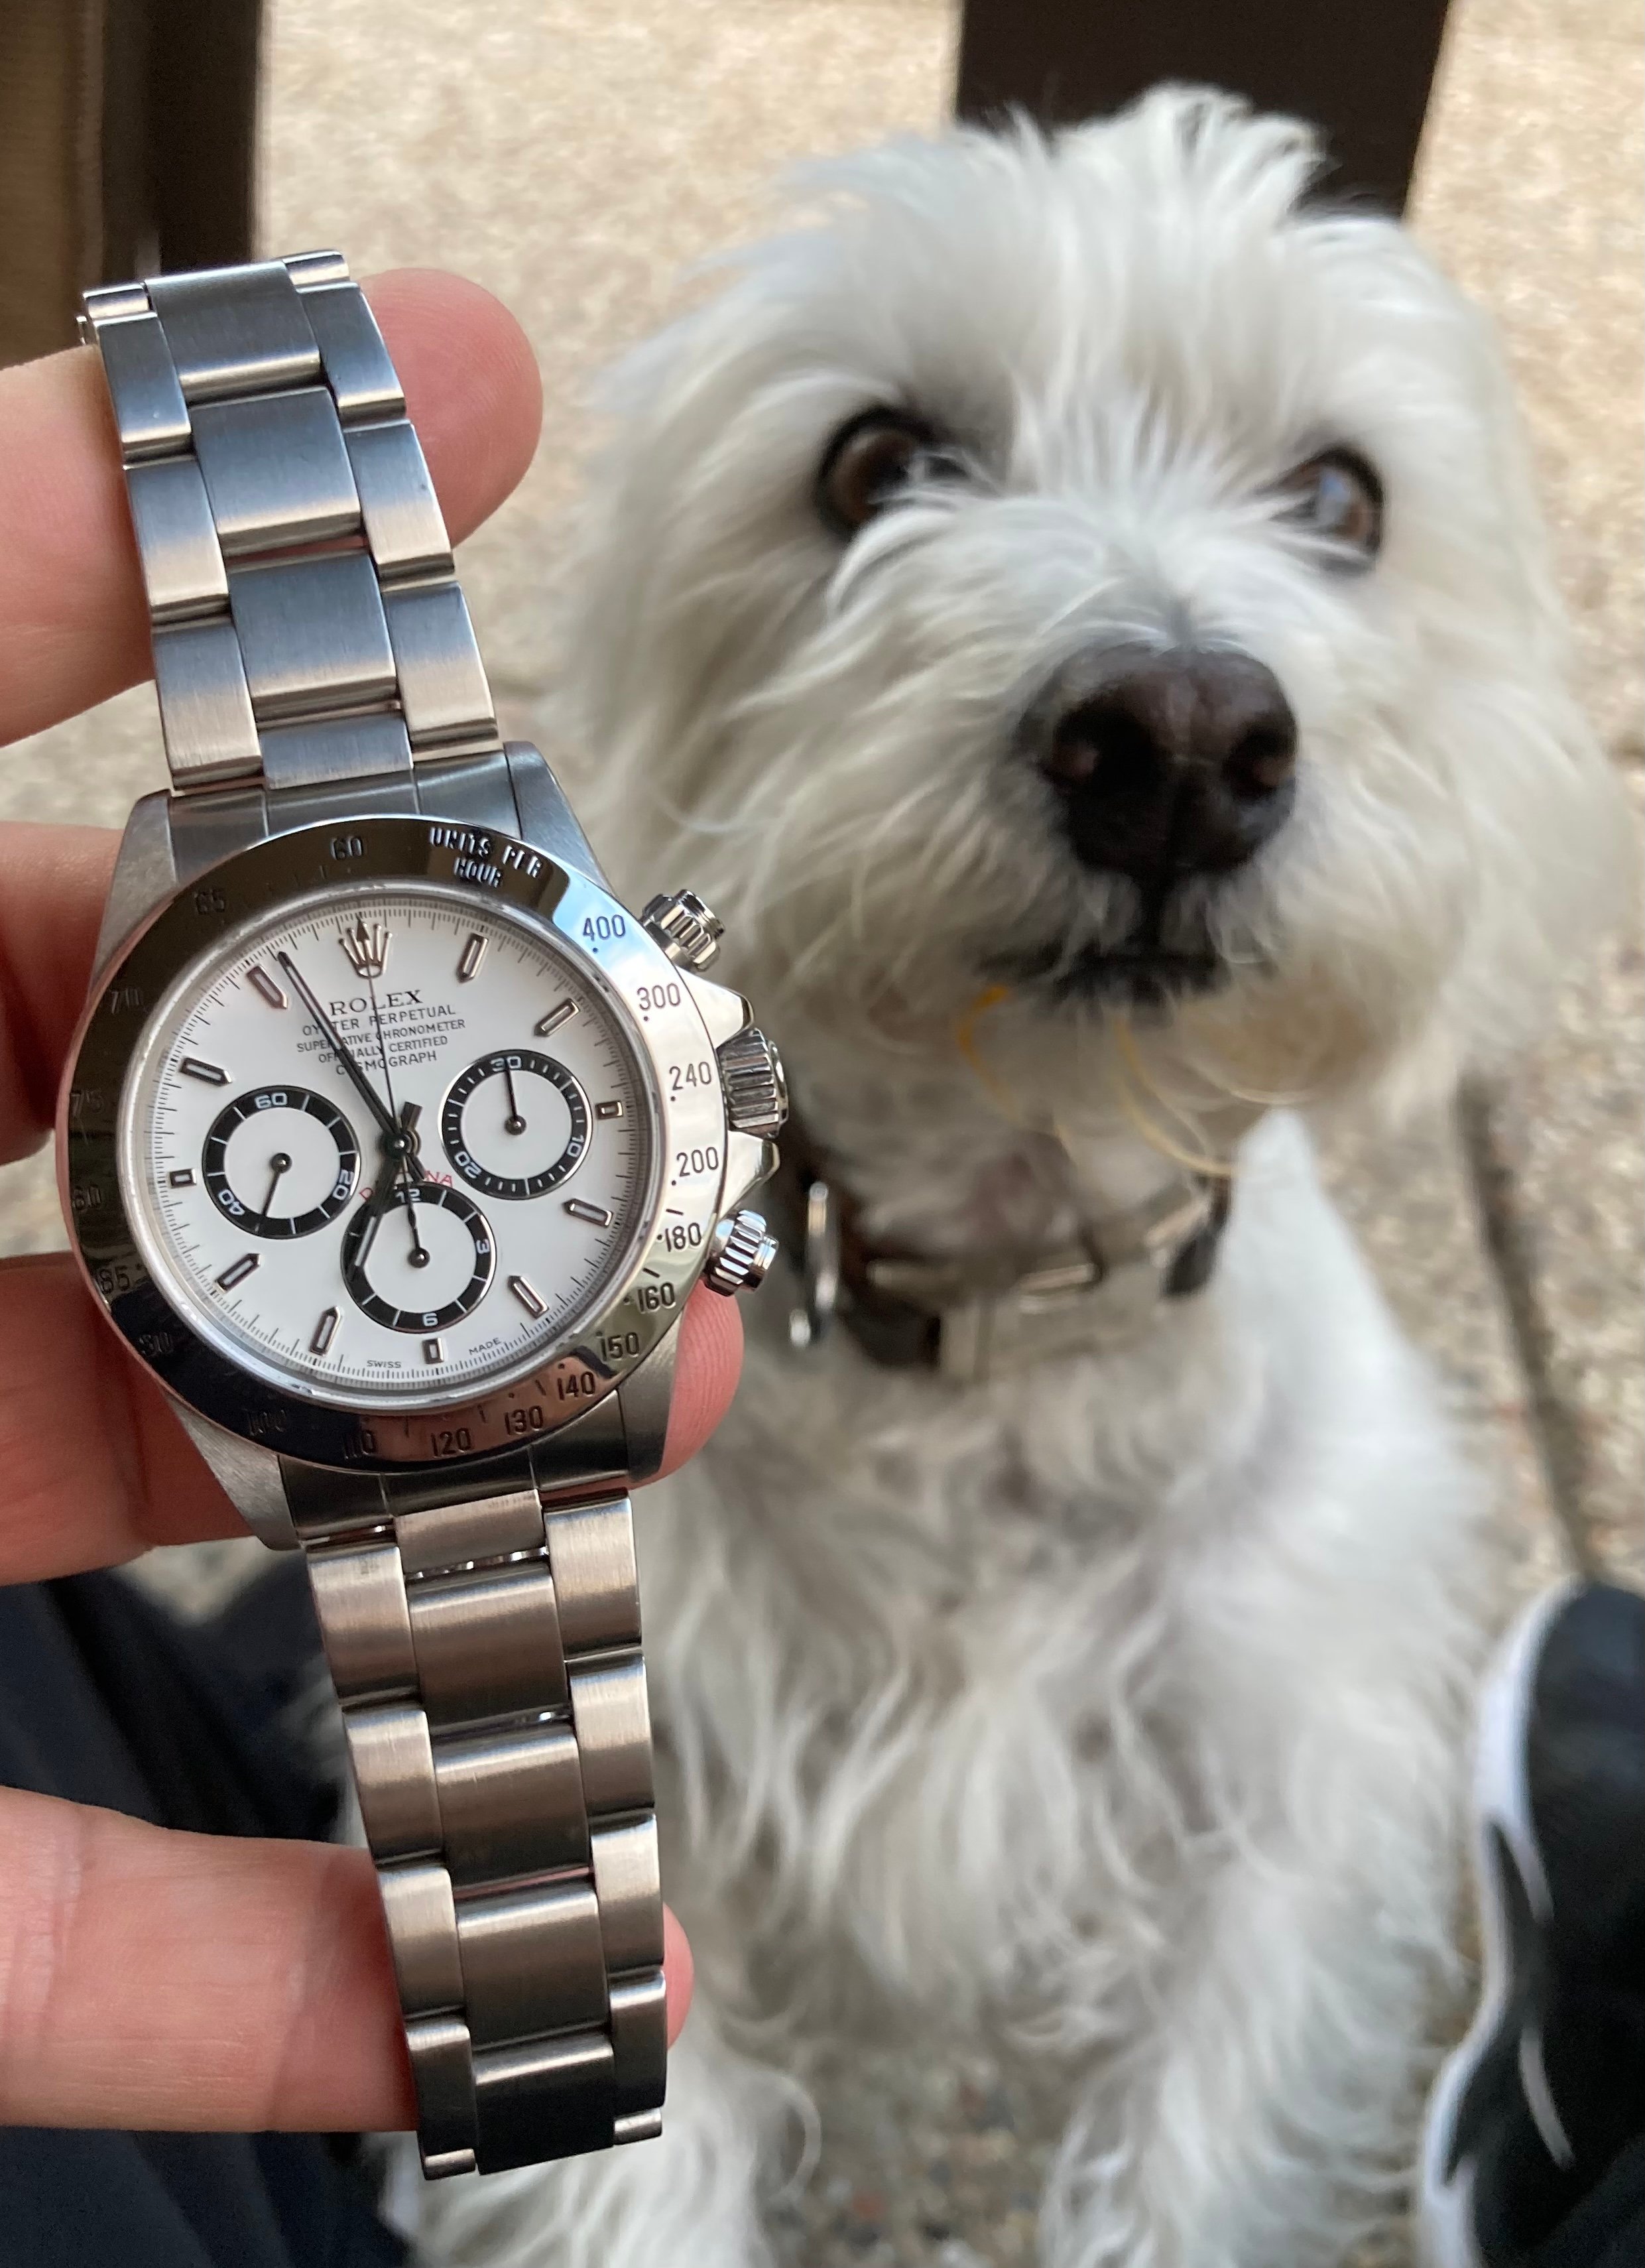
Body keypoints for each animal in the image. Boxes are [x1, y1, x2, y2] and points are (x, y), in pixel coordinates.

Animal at [419, 87, 1624, 2268]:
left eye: (1343, 494)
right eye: (873, 461)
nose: (1177, 739)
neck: (1004, 1301)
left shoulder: (1283, 1807)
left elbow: (1189, 2145)